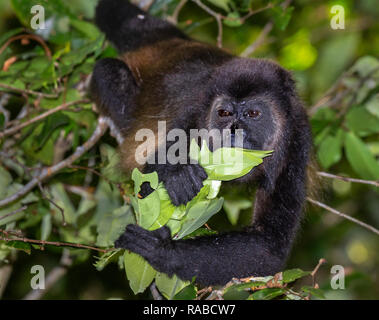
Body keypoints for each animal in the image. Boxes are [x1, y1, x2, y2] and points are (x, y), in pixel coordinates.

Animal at [90, 0, 314, 284]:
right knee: (108, 71)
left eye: (253, 114)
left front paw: (164, 251)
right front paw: (178, 176)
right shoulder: (194, 113)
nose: (234, 130)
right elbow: (146, 179)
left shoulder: (298, 136)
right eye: (224, 113)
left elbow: (268, 242)